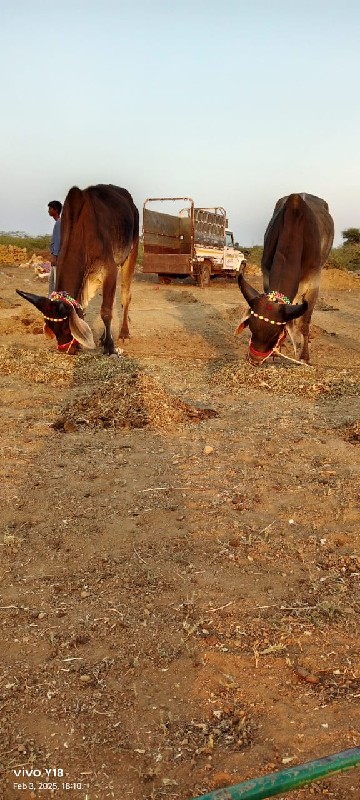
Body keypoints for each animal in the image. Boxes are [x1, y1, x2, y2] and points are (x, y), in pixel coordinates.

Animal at [16, 186, 139, 354]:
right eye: (52, 328)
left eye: (66, 328)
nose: (66, 350)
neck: (82, 230)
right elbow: (83, 307)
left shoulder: (110, 268)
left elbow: (106, 311)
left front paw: (110, 347)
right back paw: (104, 336)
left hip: (131, 250)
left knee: (125, 296)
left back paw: (124, 334)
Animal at [236, 194, 334, 366]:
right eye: (251, 328)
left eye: (275, 334)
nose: (254, 360)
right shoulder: (266, 275)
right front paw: (276, 353)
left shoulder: (314, 282)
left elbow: (304, 323)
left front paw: (304, 357)